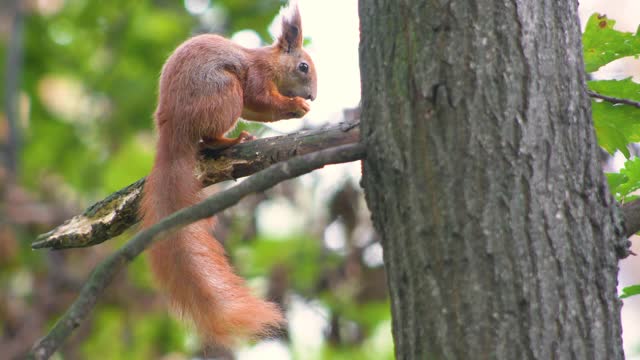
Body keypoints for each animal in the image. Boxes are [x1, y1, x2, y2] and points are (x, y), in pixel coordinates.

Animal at [142, 2, 318, 346]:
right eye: (303, 67)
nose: (313, 97)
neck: (269, 61)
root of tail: (172, 129)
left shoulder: (251, 102)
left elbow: (258, 108)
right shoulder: (257, 77)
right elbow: (262, 98)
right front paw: (294, 105)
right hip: (225, 93)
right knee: (208, 139)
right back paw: (232, 141)